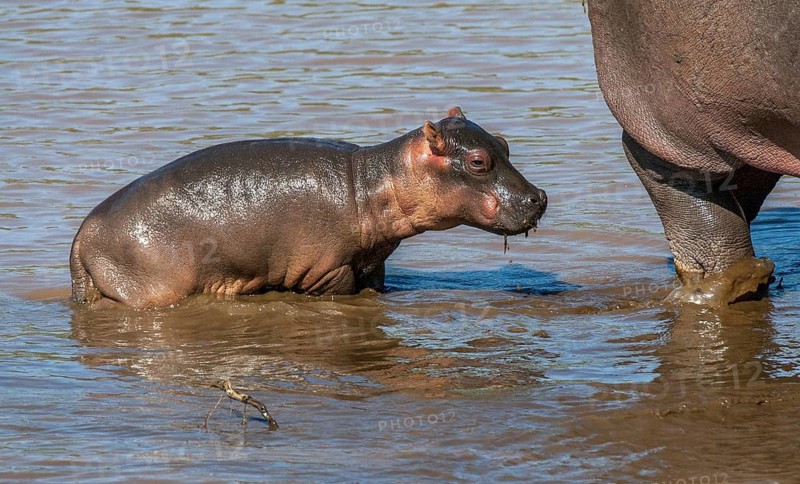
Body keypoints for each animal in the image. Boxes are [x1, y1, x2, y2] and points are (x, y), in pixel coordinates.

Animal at [70, 107, 547, 309]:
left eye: (504, 143)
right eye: (478, 162)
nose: (539, 197)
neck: (376, 180)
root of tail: (80, 237)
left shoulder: (372, 263)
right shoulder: (328, 270)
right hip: (150, 290)